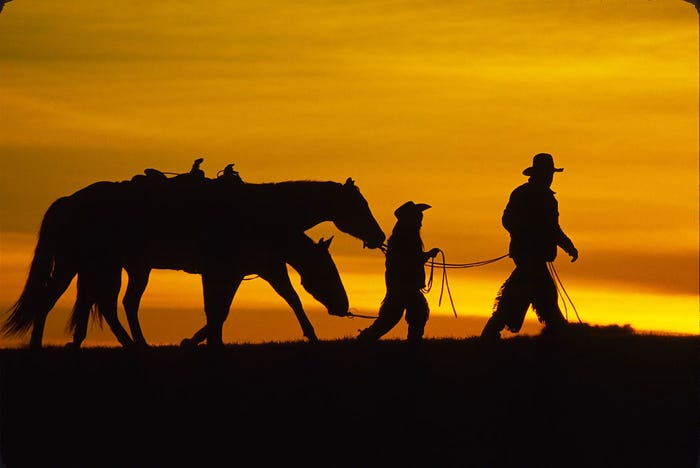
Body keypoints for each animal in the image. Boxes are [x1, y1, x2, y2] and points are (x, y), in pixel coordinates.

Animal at [66, 234, 348, 348]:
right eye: (327, 268)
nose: (344, 306)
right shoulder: (249, 270)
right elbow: (292, 299)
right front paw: (312, 335)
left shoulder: (248, 271)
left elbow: (221, 310)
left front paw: (197, 340)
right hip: (135, 268)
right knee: (122, 302)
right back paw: (137, 343)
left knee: (102, 301)